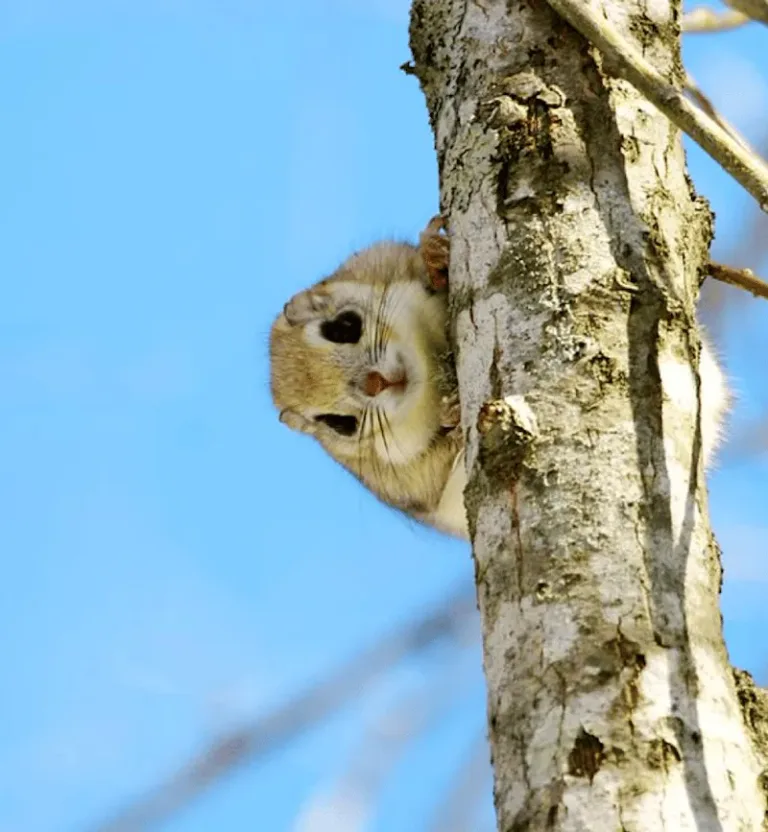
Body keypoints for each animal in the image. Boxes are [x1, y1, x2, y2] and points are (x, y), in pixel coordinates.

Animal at [269, 216, 729, 540]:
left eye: (343, 327)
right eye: (339, 425)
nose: (375, 384)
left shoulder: (381, 259)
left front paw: (435, 256)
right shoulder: (407, 480)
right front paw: (453, 415)